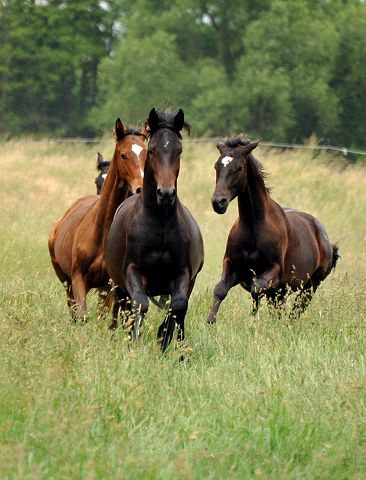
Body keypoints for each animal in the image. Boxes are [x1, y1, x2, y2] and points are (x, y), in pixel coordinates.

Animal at [48, 119, 147, 322]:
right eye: (123, 155)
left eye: (146, 153)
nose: (140, 188)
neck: (100, 232)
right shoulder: (78, 279)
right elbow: (83, 316)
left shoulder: (107, 285)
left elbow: (103, 316)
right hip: (66, 282)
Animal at [104, 107, 204, 350]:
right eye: (152, 150)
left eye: (179, 151)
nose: (165, 193)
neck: (159, 224)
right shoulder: (132, 271)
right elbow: (139, 305)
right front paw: (134, 343)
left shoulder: (182, 274)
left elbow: (178, 307)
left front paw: (164, 341)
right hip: (119, 287)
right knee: (123, 309)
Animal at [207, 134, 338, 322]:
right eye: (217, 166)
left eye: (239, 168)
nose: (218, 202)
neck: (253, 226)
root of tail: (326, 240)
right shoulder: (232, 264)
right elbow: (220, 289)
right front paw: (210, 322)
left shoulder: (274, 270)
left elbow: (257, 288)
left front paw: (253, 319)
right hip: (284, 290)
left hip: (310, 286)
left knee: (296, 309)